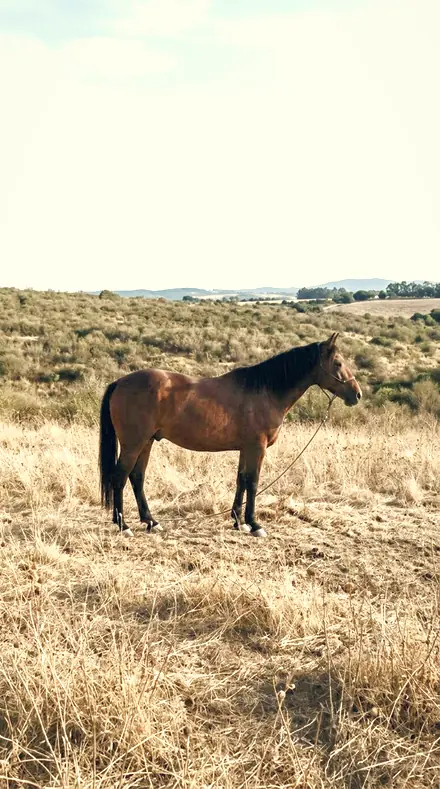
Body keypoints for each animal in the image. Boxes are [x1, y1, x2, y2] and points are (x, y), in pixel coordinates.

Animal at [99, 332, 361, 538]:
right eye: (338, 363)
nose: (357, 394)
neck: (265, 391)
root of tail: (120, 382)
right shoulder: (257, 447)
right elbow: (253, 482)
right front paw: (255, 524)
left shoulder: (246, 448)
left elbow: (241, 480)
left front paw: (238, 521)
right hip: (133, 444)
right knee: (119, 477)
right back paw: (124, 525)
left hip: (146, 443)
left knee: (137, 477)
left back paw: (151, 522)